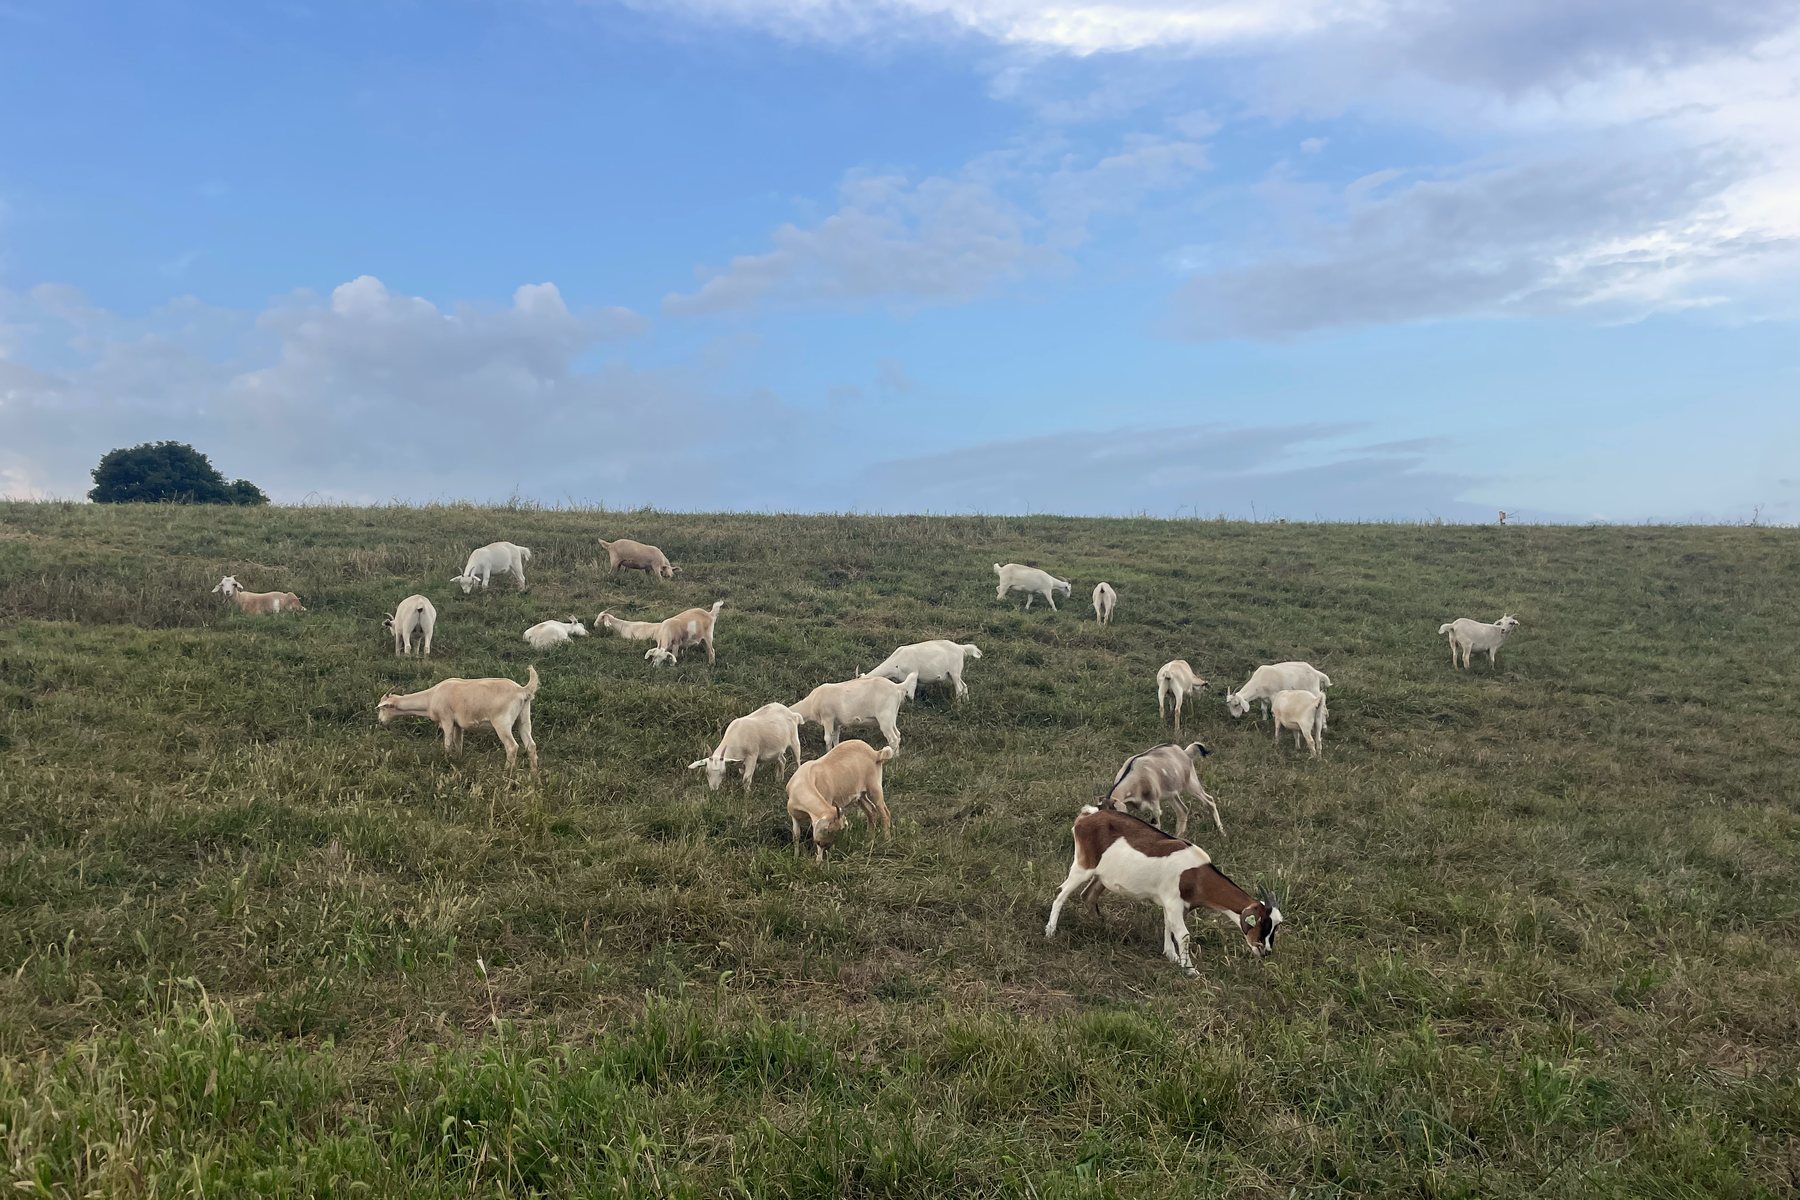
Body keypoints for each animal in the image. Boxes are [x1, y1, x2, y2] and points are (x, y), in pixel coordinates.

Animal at [376, 665, 540, 772]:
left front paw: (446, 760)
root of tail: (522, 690)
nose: (381, 722)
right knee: (531, 746)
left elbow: (448, 742)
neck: (431, 697)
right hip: (524, 719)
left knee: (512, 746)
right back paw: (534, 775)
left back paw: (507, 772)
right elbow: (458, 743)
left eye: (383, 708)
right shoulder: (458, 725)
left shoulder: (446, 720)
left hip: (502, 723)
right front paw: (458, 760)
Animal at [1044, 806, 1283, 975]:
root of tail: (1087, 817)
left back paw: (1099, 926)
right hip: (1084, 865)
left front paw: (1171, 955)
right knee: (1061, 893)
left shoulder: (1174, 904)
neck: (1197, 875)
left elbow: (1169, 926)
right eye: (1262, 924)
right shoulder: (1174, 902)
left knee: (1088, 895)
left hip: (1102, 876)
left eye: (1275, 926)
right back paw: (1050, 931)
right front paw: (1190, 970)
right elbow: (1184, 935)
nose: (1265, 951)